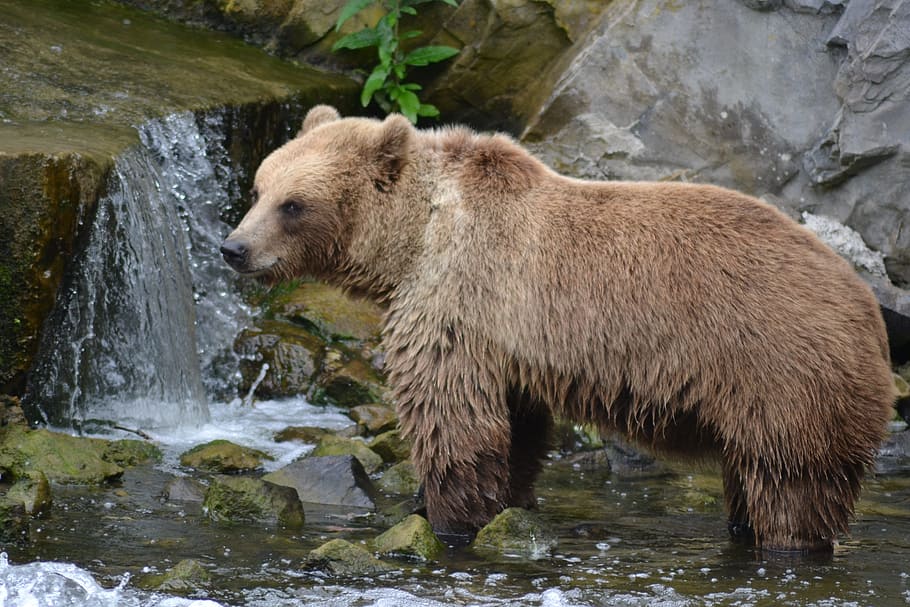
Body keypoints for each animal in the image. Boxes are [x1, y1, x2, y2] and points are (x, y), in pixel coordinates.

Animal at [221, 105, 895, 553]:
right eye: (257, 188)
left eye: (293, 204)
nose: (234, 248)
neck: (414, 240)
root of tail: (869, 311)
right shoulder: (504, 340)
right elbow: (516, 428)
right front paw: (504, 499)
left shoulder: (458, 298)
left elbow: (450, 416)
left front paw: (447, 518)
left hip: (782, 376)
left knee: (790, 489)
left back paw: (785, 544)